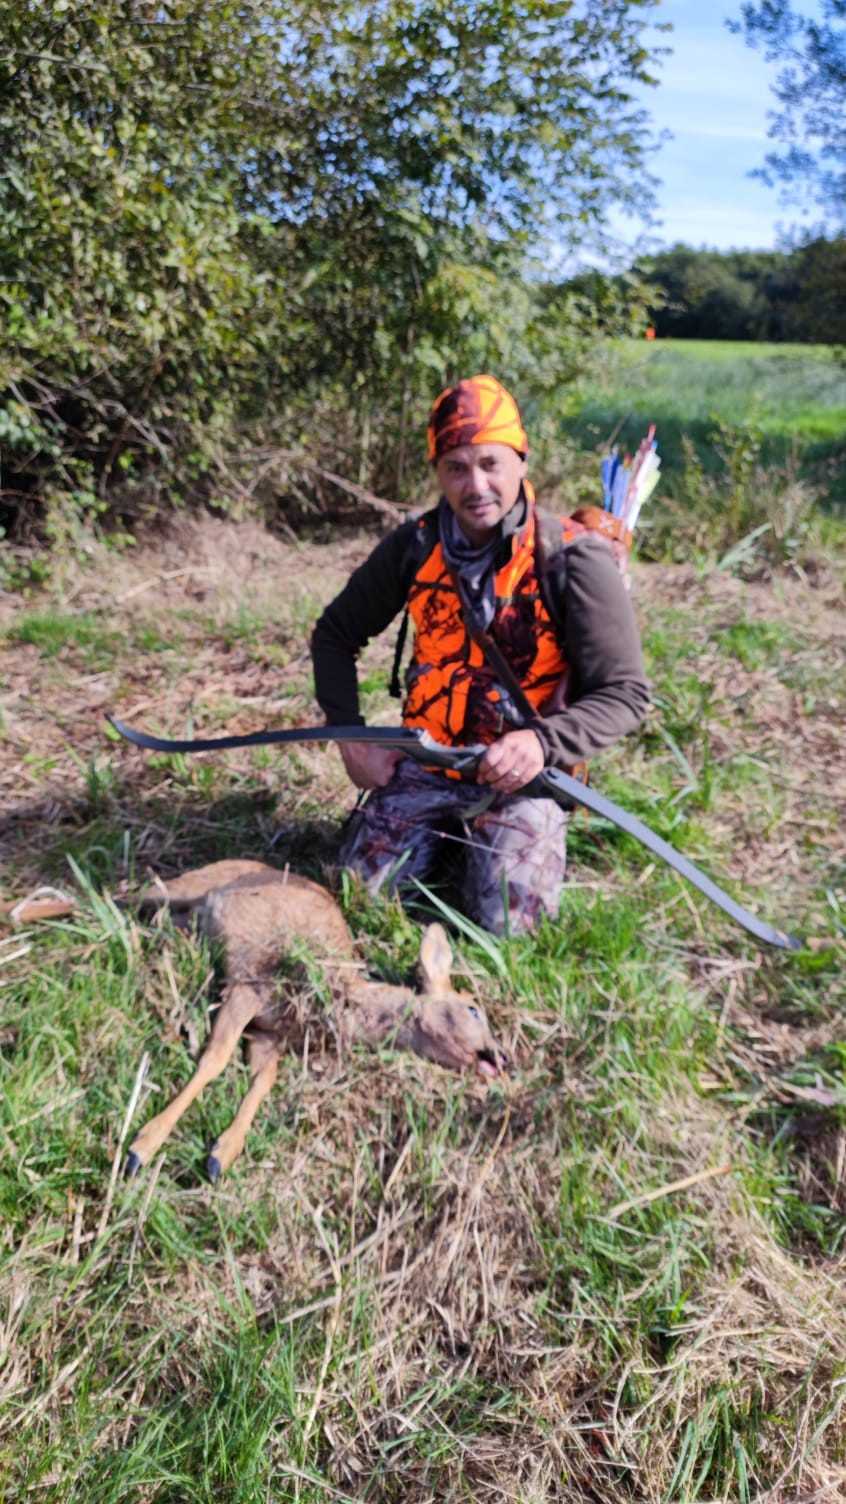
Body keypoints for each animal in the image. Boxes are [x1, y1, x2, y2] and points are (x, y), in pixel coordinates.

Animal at [124, 866, 505, 1179]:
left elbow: (264, 1080)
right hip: (186, 885)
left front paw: (222, 1154)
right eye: (473, 1009)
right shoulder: (249, 989)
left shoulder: (270, 1033)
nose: (502, 1056)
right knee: (132, 893)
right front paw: (142, 1146)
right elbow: (214, 1060)